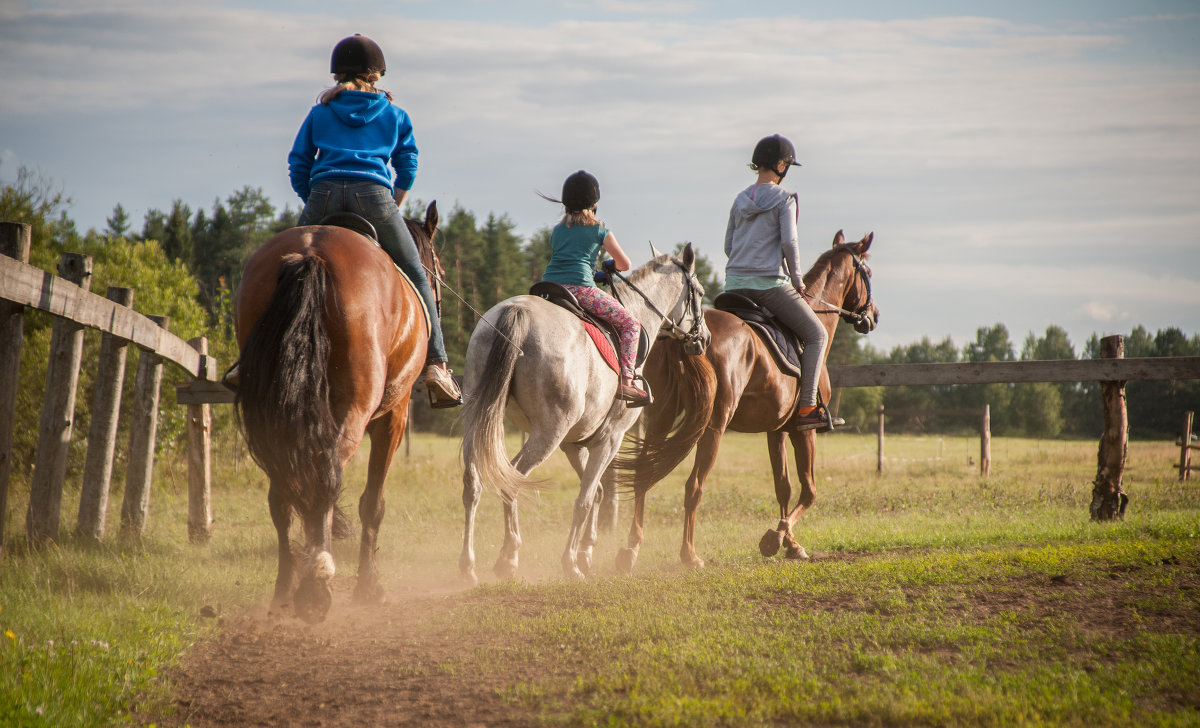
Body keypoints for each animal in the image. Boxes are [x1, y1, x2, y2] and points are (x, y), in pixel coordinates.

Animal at [234, 202, 441, 623]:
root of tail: (311, 253)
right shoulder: (393, 418)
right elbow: (372, 504)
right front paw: (369, 587)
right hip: (355, 408)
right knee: (325, 477)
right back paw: (316, 583)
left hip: (276, 413)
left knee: (283, 494)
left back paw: (285, 590)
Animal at [453, 245, 705, 587]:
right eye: (701, 293)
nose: (702, 339)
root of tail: (518, 311)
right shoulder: (610, 439)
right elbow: (585, 499)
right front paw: (572, 562)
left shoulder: (574, 443)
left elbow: (596, 493)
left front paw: (585, 552)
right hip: (548, 432)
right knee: (513, 477)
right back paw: (509, 556)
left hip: (479, 417)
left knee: (473, 482)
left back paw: (468, 566)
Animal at [614, 230, 878, 573]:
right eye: (867, 272)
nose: (873, 316)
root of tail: (685, 335)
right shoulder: (803, 430)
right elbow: (809, 491)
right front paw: (775, 539)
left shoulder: (776, 430)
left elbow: (783, 487)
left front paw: (790, 543)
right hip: (713, 428)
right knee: (693, 486)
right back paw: (689, 554)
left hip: (661, 418)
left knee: (643, 475)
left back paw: (631, 549)